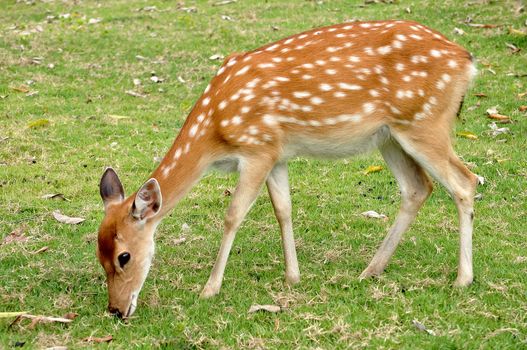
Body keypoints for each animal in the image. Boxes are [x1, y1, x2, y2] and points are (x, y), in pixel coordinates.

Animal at [96, 20, 478, 318]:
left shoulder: (257, 148)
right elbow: (283, 209)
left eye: (124, 257)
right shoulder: (277, 153)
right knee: (418, 187)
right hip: (390, 136)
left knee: (466, 181)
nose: (116, 310)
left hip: (424, 122)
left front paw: (209, 289)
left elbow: (233, 214)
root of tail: (467, 61)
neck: (215, 131)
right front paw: (293, 277)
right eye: (98, 254)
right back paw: (371, 269)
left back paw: (462, 279)